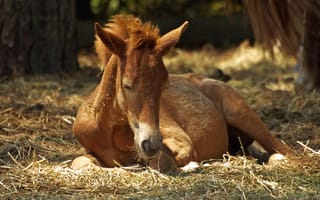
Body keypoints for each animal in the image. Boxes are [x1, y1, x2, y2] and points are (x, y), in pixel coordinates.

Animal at [72, 15, 292, 172]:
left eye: (164, 84)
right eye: (127, 85)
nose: (151, 144)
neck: (109, 130)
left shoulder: (179, 140)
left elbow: (166, 161)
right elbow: (80, 163)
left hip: (242, 114)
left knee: (284, 150)